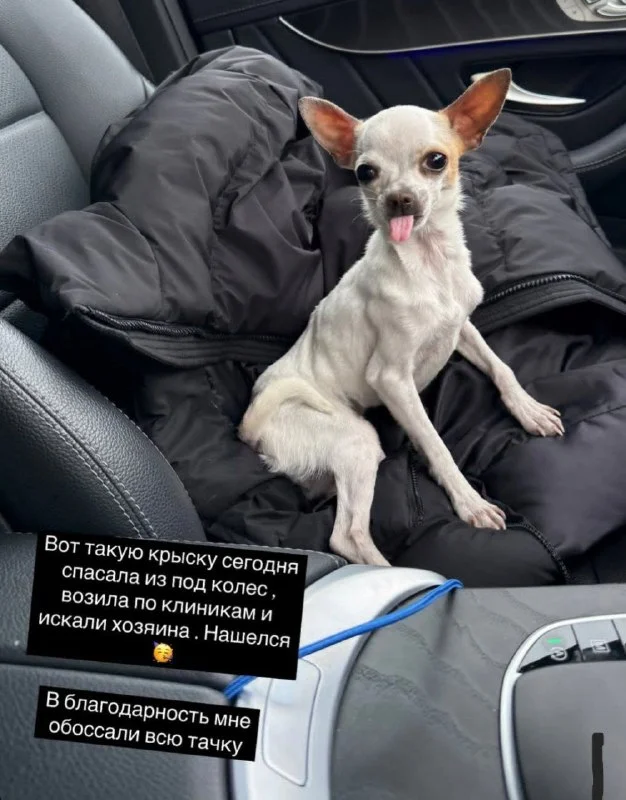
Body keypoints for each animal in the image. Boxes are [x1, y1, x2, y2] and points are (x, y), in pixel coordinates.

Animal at [239, 69, 564, 567]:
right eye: (365, 172)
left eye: (436, 161)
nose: (399, 199)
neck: (429, 264)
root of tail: (252, 429)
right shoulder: (392, 379)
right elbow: (435, 443)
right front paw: (469, 502)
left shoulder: (461, 326)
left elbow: (501, 367)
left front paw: (528, 410)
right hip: (355, 440)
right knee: (347, 535)